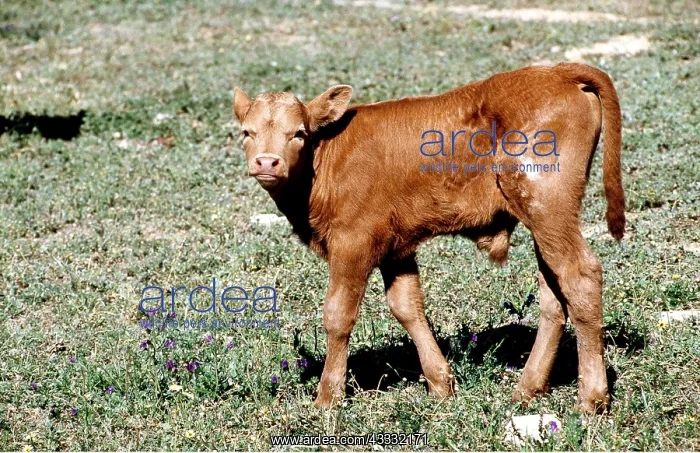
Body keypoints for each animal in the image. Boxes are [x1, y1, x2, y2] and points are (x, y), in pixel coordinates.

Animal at [232, 62, 624, 414]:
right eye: (247, 133)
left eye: (299, 133)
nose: (267, 162)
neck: (326, 161)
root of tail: (558, 71)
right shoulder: (396, 249)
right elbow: (407, 307)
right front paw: (441, 383)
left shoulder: (352, 243)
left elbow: (338, 315)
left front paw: (327, 398)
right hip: (544, 220)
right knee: (553, 294)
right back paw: (527, 389)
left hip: (547, 205)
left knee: (580, 277)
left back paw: (591, 399)